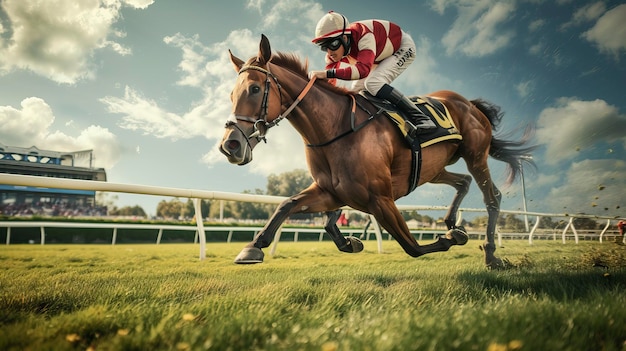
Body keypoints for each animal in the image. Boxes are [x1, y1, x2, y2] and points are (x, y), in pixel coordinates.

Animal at [218, 35, 532, 270]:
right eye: (231, 95)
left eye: (255, 89)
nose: (229, 145)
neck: (335, 129)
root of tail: (469, 103)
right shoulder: (331, 191)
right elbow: (288, 205)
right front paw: (253, 247)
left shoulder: (380, 198)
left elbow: (412, 246)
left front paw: (452, 239)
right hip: (434, 169)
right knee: (462, 182)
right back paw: (451, 221)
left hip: (475, 155)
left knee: (492, 197)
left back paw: (490, 254)